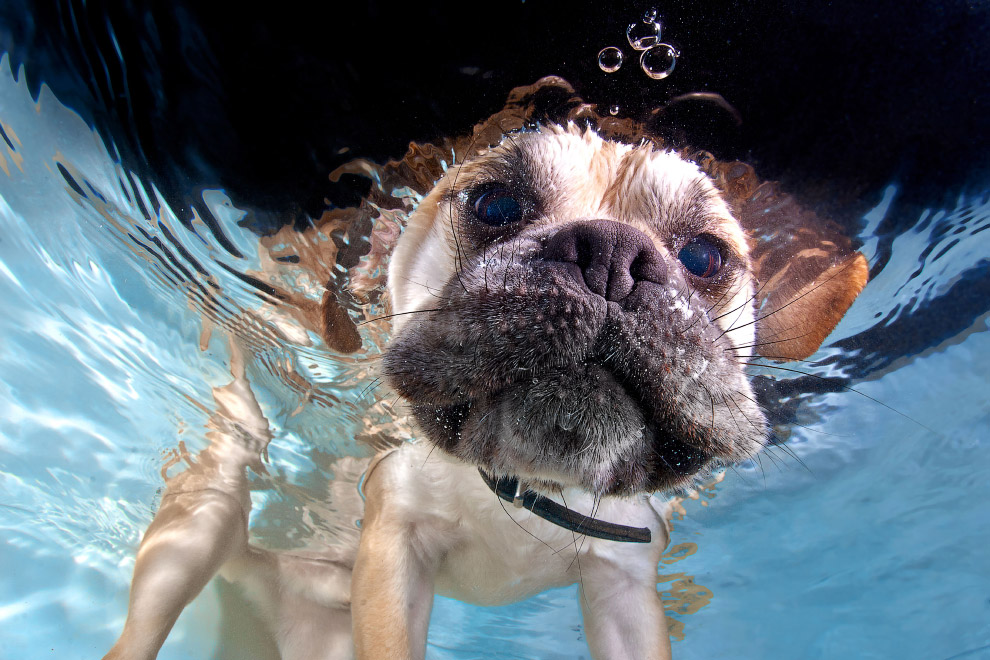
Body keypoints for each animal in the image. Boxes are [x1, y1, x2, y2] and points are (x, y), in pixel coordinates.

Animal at [104, 78, 872, 660]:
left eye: (704, 258)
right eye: (495, 204)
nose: (611, 255)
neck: (530, 484)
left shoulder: (625, 584)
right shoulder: (394, 546)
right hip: (200, 521)